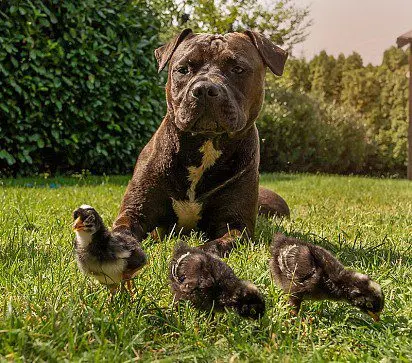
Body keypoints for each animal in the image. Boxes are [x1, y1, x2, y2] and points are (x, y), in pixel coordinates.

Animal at [109, 29, 288, 258]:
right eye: (183, 69)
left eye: (237, 69)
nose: (204, 88)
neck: (206, 144)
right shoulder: (135, 211)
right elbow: (122, 234)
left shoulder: (235, 225)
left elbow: (215, 245)